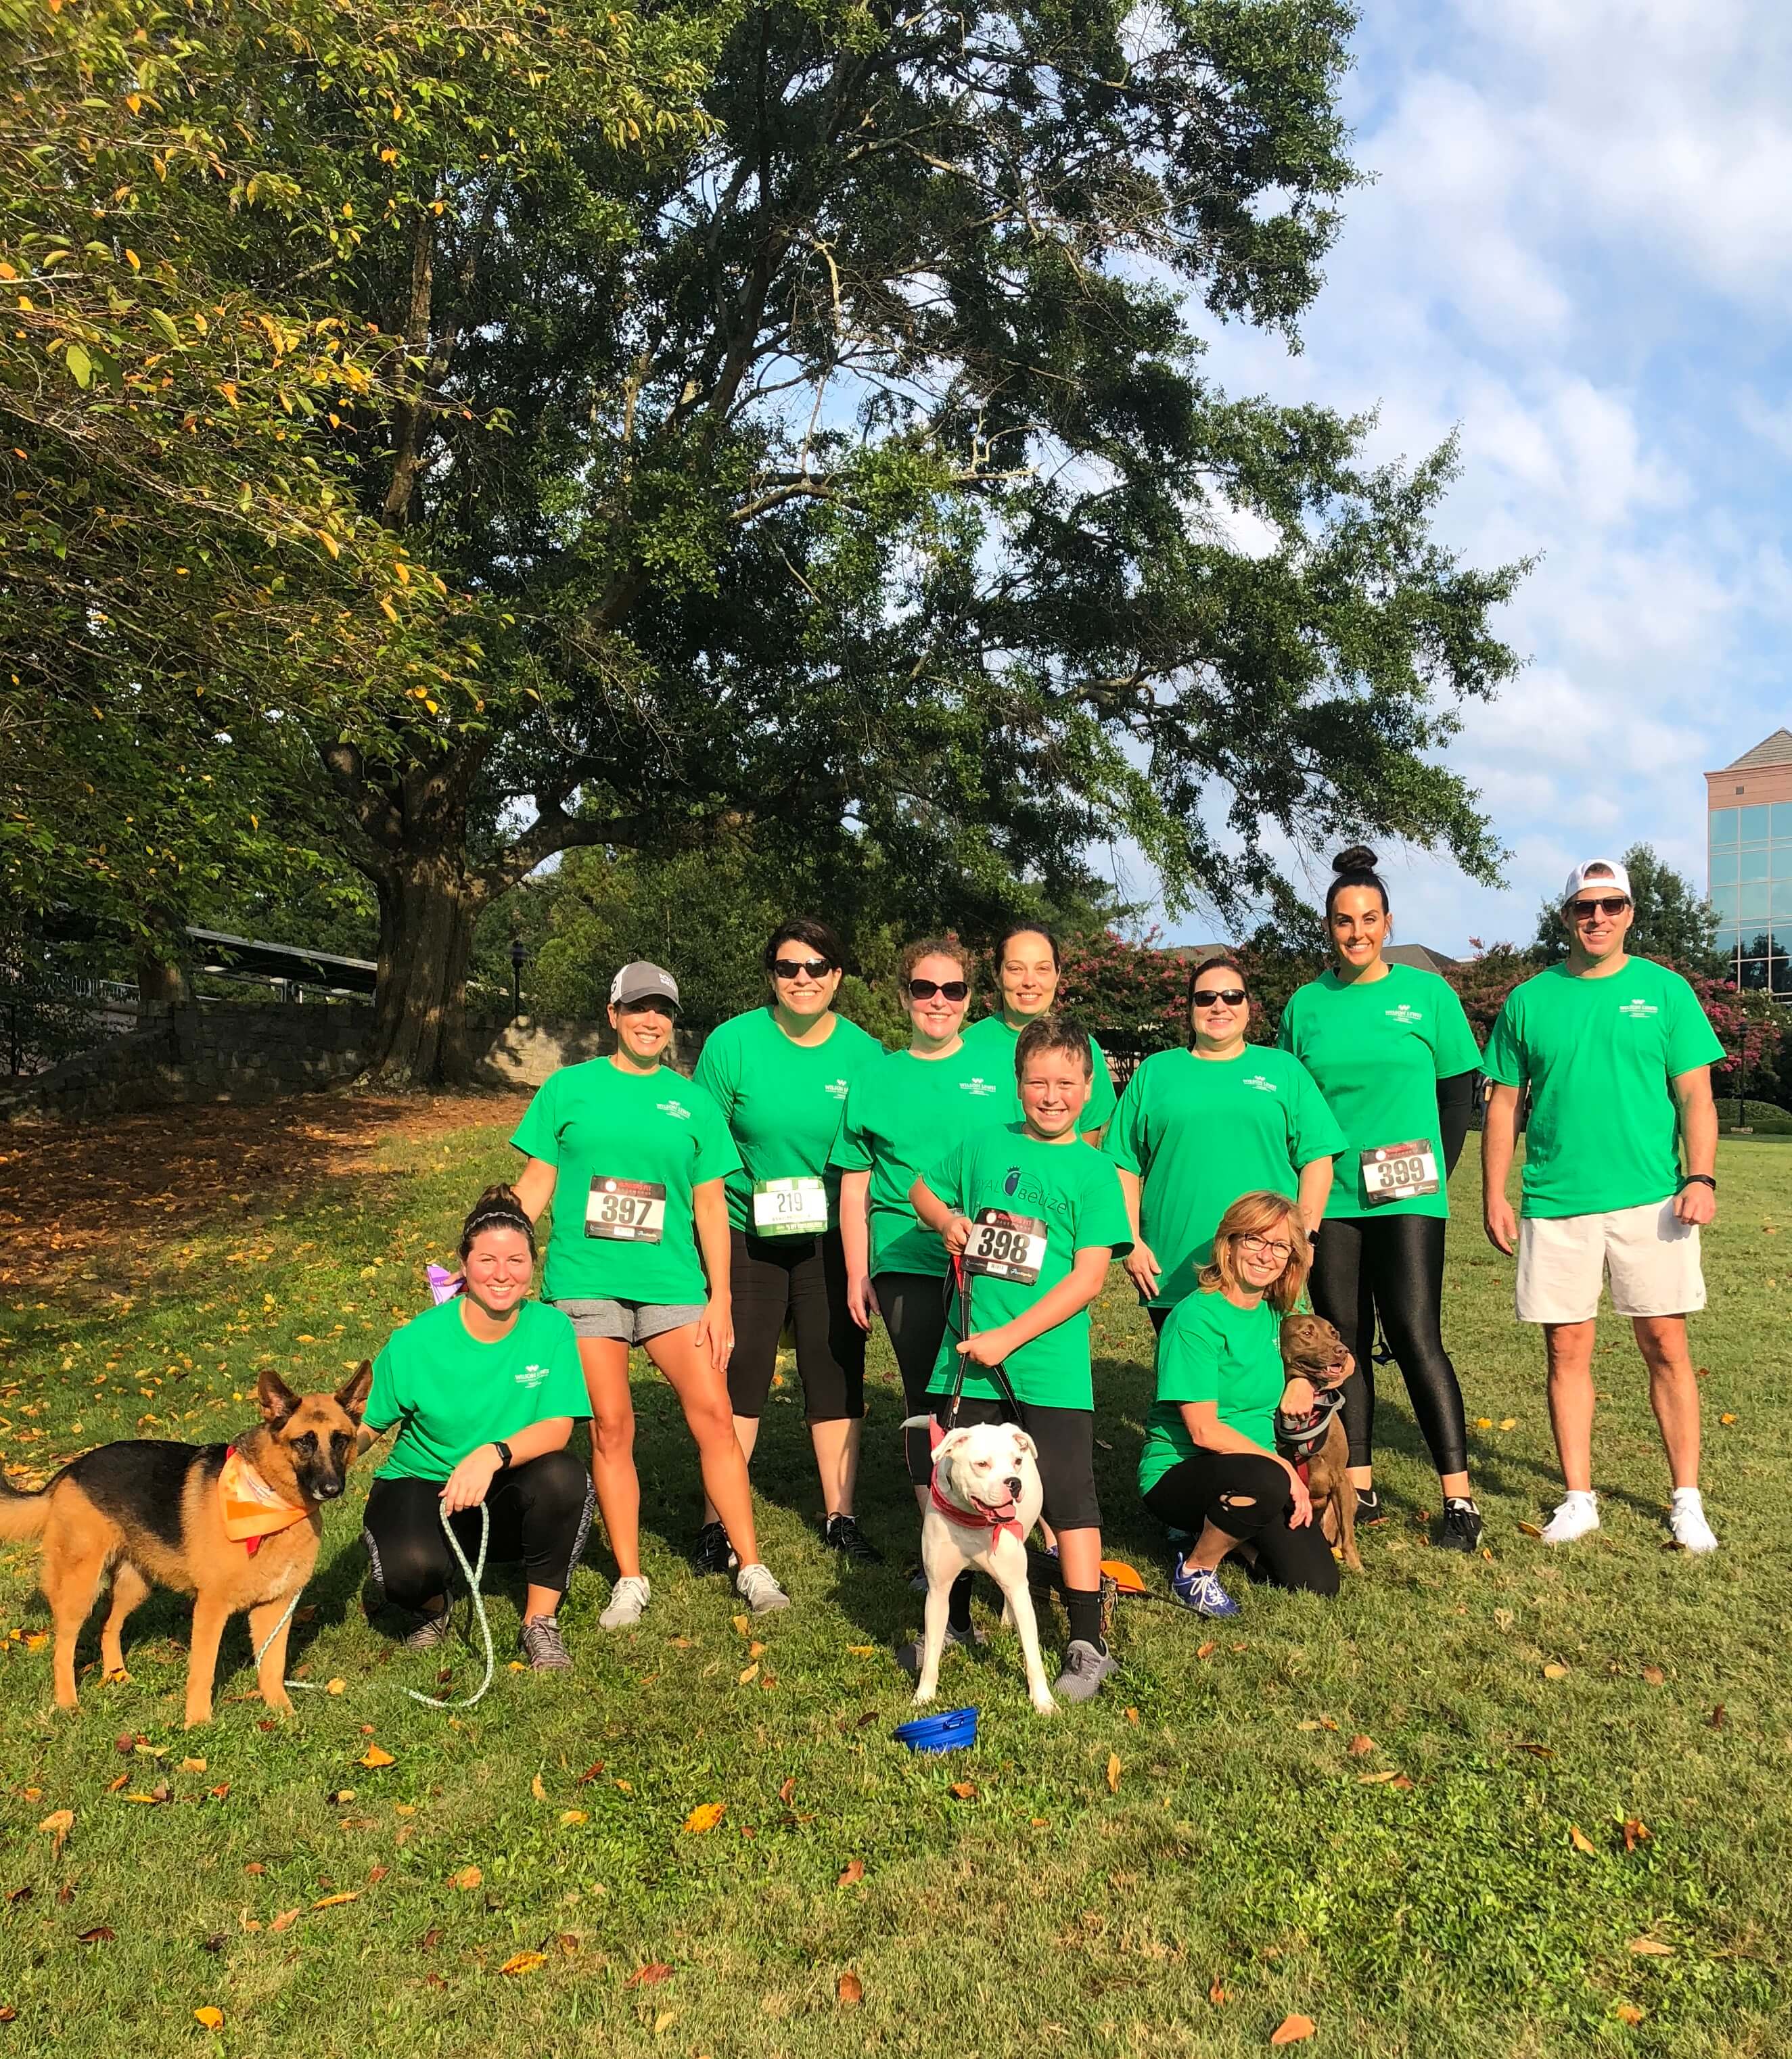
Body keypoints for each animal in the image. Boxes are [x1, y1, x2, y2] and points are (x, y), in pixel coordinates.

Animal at [0, 1364, 372, 1726]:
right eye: (304, 1442)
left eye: (340, 1441)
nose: (331, 1488)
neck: (270, 1497)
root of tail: (68, 1471)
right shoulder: (211, 1609)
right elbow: (203, 1671)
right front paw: (197, 1723)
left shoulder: (276, 1608)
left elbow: (272, 1668)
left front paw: (284, 1716)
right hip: (80, 1589)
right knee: (63, 1647)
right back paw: (68, 1704)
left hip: (135, 1586)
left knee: (109, 1627)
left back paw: (117, 1676)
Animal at [905, 1414, 1056, 1715]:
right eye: (982, 1464)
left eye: (1016, 1461)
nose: (1013, 1482)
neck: (973, 1520)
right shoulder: (938, 1591)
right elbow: (931, 1653)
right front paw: (924, 1696)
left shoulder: (1018, 1585)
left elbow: (1032, 1653)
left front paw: (1043, 1701)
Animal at [1276, 1314, 1362, 1574]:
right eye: (1307, 1333)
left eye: (1333, 1333)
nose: (1342, 1351)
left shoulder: (1341, 1479)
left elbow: (1348, 1534)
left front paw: (1356, 1566)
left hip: (1350, 1495)